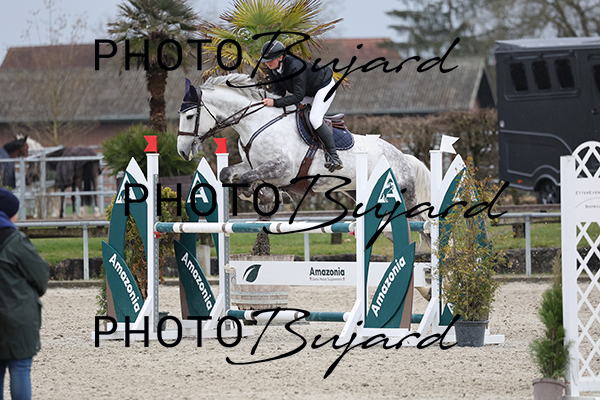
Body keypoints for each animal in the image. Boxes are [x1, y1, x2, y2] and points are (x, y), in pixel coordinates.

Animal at [176, 74, 431, 242]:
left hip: (405, 196)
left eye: (189, 116)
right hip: (361, 194)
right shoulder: (252, 164)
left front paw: (270, 195)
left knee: (423, 228)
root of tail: (402, 156)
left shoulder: (283, 168)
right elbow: (228, 173)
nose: (182, 151)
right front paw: (260, 195)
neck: (255, 122)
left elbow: (249, 178)